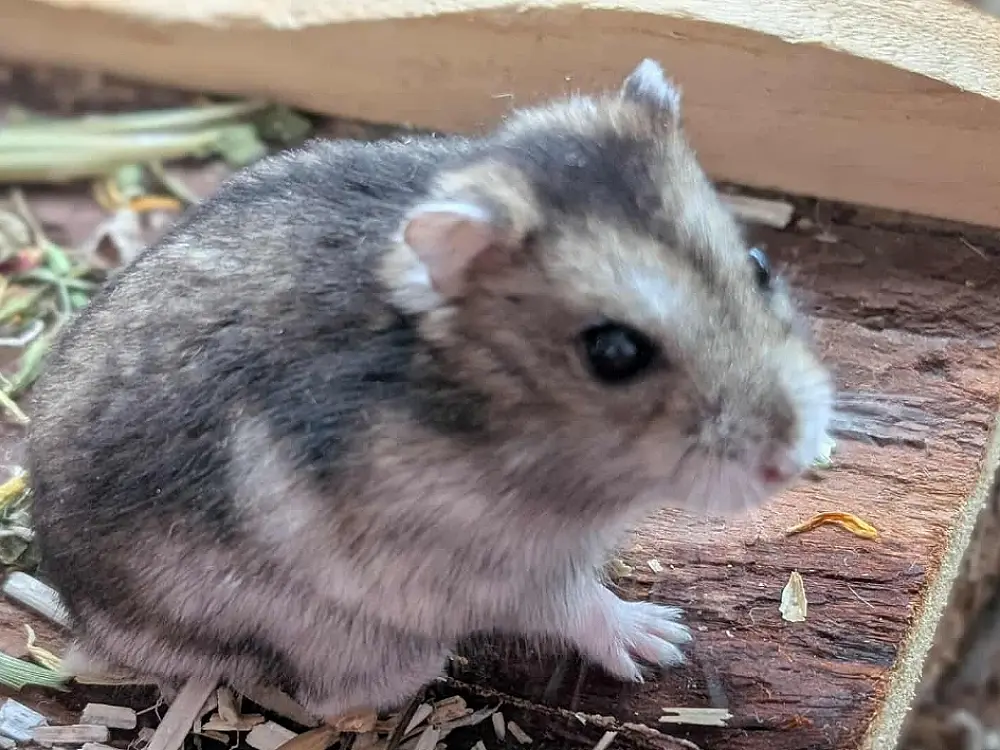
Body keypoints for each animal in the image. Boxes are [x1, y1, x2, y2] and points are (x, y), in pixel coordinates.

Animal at [26, 59, 834, 719]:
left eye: (759, 264)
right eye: (613, 353)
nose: (792, 460)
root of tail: (75, 607)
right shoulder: (490, 568)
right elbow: (577, 605)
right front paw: (663, 640)